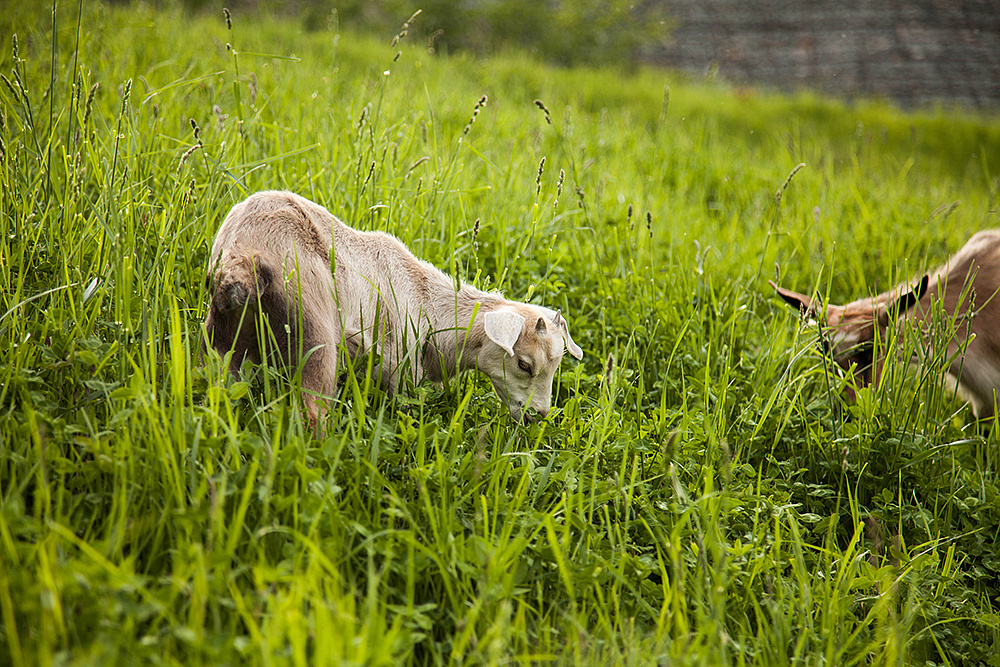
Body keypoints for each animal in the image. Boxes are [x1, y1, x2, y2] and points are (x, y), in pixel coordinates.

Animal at [202, 190, 584, 426]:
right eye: (524, 364)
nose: (539, 415)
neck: (427, 299)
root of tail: (243, 257)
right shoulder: (397, 368)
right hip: (312, 329)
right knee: (313, 410)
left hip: (223, 339)